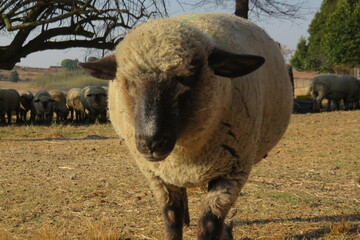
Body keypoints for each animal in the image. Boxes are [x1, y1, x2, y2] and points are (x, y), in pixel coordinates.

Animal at [80, 13, 294, 240]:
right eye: (127, 80)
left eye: (187, 78)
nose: (150, 142)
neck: (184, 154)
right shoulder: (156, 174)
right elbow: (171, 218)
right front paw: (178, 221)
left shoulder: (233, 170)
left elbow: (209, 224)